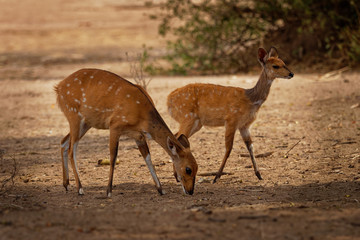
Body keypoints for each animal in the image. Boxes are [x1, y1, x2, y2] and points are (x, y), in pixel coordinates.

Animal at [54, 67, 198, 195]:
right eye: (188, 169)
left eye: (197, 167)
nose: (190, 191)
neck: (142, 114)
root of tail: (58, 88)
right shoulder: (115, 125)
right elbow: (113, 157)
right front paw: (108, 191)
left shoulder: (138, 135)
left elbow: (148, 158)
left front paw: (161, 189)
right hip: (74, 115)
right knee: (72, 149)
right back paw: (80, 189)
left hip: (86, 123)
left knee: (63, 141)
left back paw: (66, 184)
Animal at [167, 47, 294, 183]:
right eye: (275, 66)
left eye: (284, 62)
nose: (291, 74)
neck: (251, 100)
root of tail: (168, 100)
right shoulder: (231, 120)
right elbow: (228, 148)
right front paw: (216, 177)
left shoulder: (244, 125)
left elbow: (251, 147)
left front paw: (259, 175)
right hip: (187, 117)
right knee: (177, 138)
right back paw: (177, 176)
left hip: (196, 123)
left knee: (176, 136)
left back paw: (176, 175)